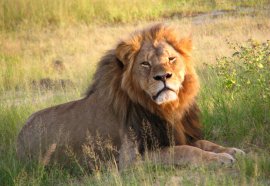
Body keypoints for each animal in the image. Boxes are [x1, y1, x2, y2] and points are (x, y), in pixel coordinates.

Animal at [16, 24, 245, 169]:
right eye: (145, 63)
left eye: (171, 59)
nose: (163, 76)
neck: (165, 109)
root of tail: (18, 137)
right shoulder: (130, 159)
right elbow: (185, 150)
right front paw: (220, 159)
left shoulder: (176, 133)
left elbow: (205, 143)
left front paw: (232, 151)